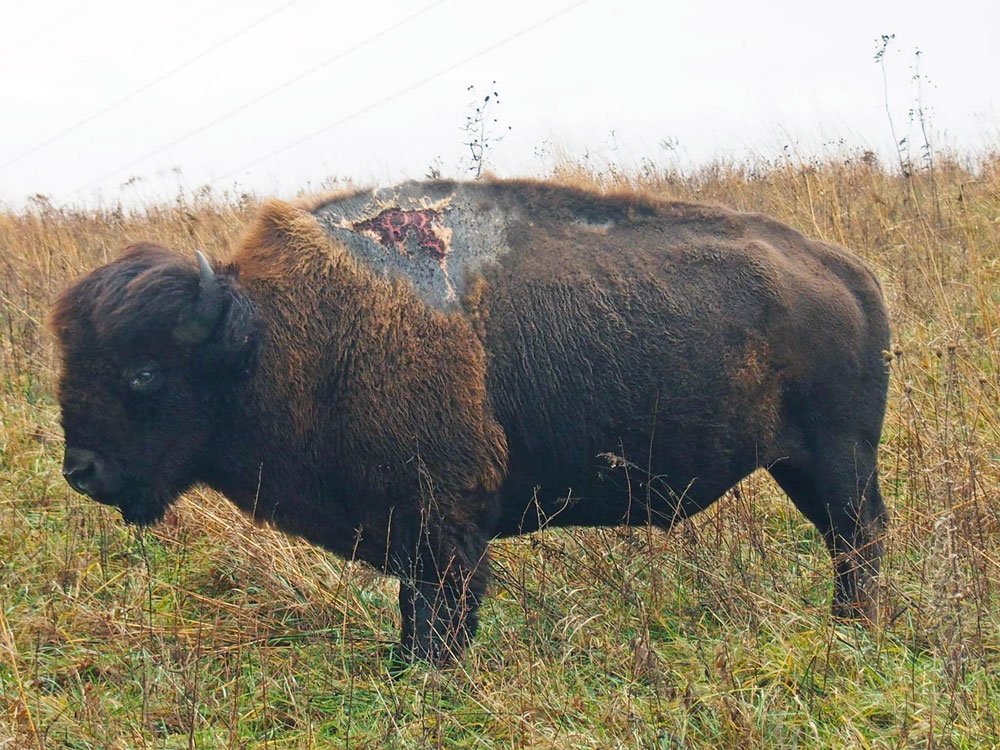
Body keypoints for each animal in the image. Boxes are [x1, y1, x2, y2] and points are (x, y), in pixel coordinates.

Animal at [51, 179, 890, 663]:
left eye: (144, 371)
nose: (80, 471)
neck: (271, 335)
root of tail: (844, 270)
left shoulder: (444, 529)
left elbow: (441, 612)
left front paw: (429, 676)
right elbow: (412, 611)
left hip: (836, 460)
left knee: (860, 537)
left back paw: (853, 629)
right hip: (800, 467)